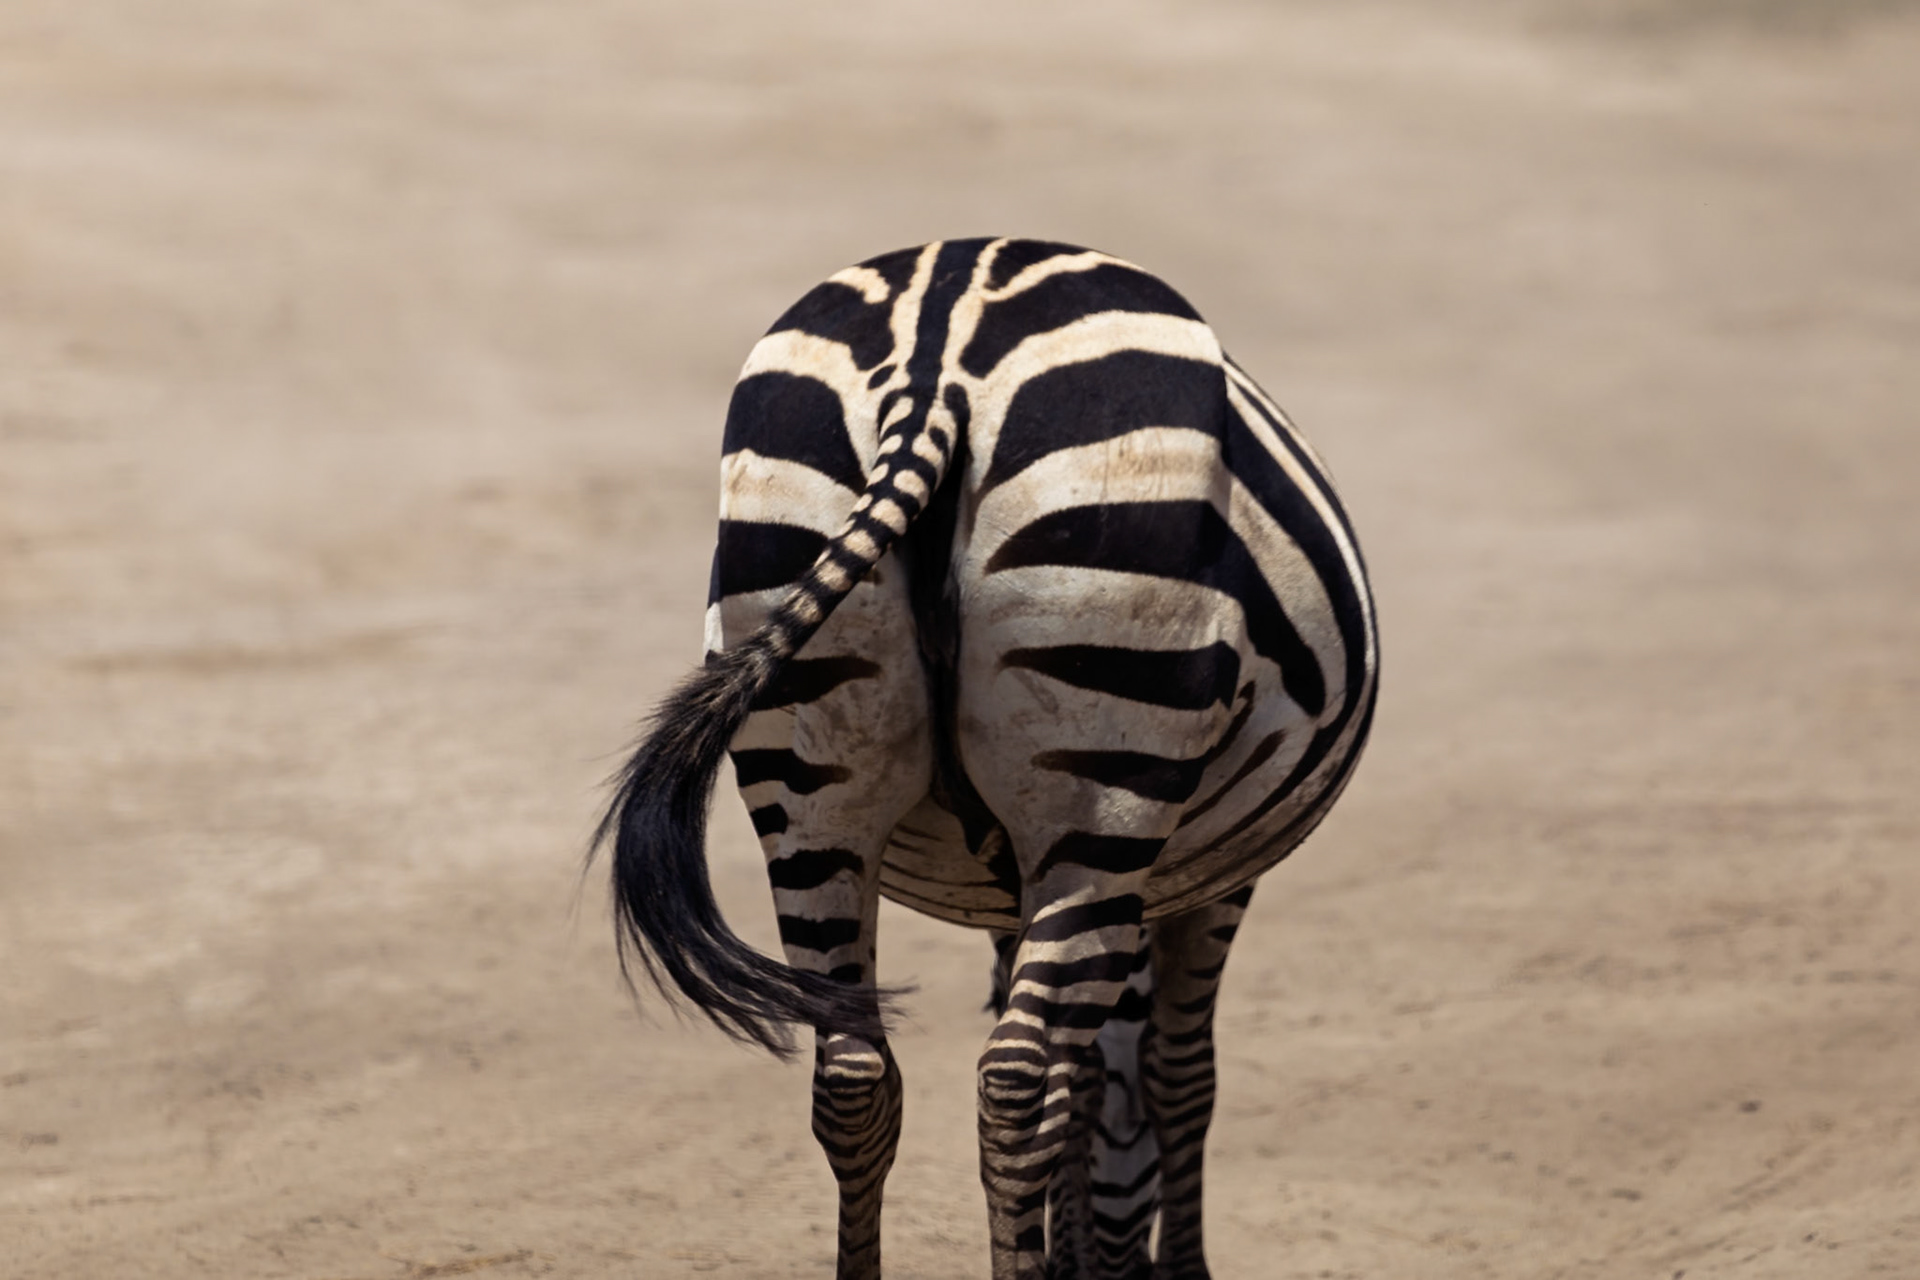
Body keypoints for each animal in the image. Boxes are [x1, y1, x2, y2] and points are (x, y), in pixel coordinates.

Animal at [595, 238, 1378, 1279]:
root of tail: (933, 368)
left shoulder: (1020, 886)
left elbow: (1090, 1085)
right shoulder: (1214, 875)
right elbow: (1174, 1076)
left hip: (810, 776)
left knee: (855, 1077)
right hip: (1102, 779)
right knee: (1015, 1081)